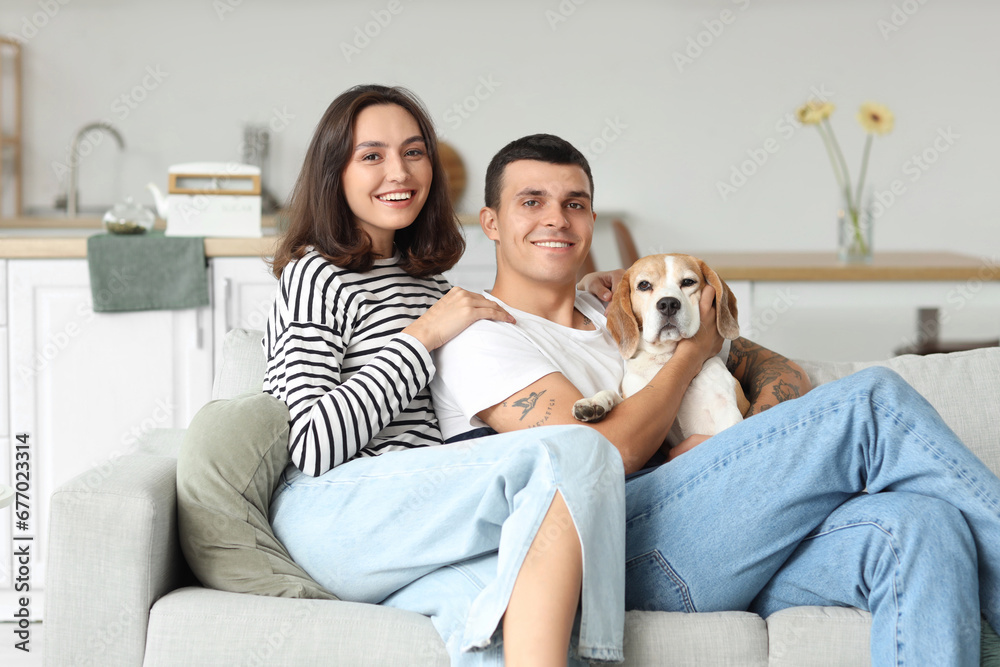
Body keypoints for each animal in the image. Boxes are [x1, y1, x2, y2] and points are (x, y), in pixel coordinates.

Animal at [576, 256, 748, 448]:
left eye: (688, 282)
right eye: (644, 285)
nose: (668, 304)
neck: (665, 358)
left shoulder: (725, 408)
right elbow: (614, 395)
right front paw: (594, 402)